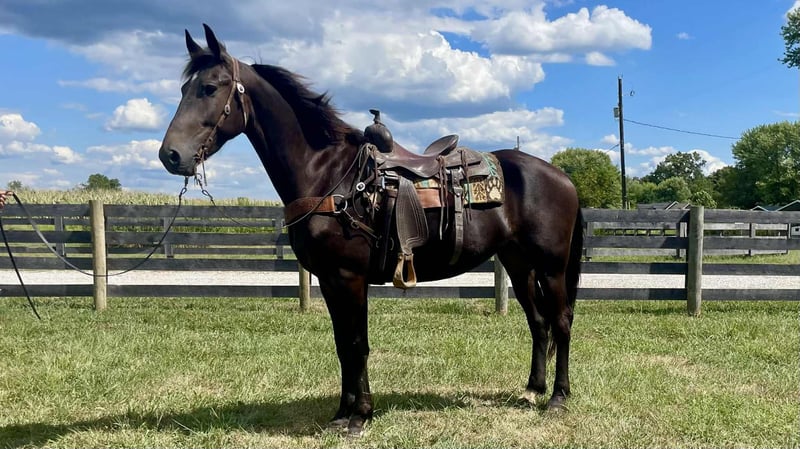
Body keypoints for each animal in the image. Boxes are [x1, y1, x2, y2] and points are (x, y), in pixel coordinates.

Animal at [159, 24, 583, 436]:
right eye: (182, 89)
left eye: (210, 88)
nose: (170, 155)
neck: (329, 176)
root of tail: (561, 176)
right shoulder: (329, 279)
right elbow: (342, 345)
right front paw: (341, 414)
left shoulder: (350, 277)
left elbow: (357, 344)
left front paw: (360, 417)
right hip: (518, 263)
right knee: (539, 322)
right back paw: (532, 390)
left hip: (551, 266)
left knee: (561, 321)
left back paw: (558, 399)